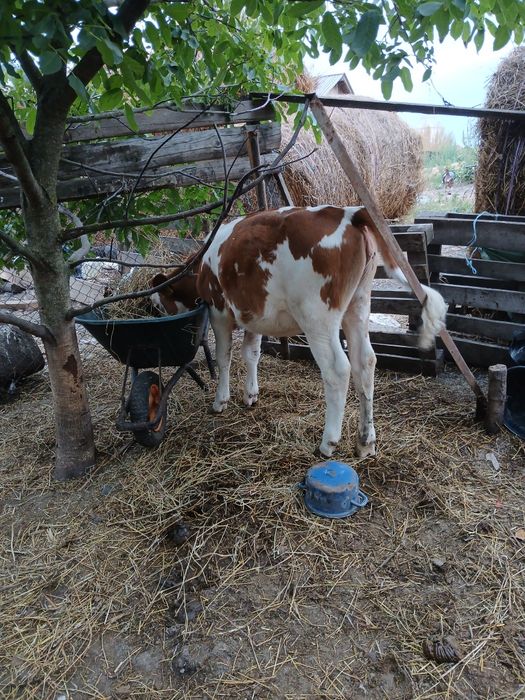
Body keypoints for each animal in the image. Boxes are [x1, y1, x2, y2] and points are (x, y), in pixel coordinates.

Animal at [151, 206, 447, 458]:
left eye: (159, 303)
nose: (160, 319)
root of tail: (349, 212)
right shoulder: (254, 312)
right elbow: (251, 353)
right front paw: (251, 395)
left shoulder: (219, 311)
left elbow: (225, 357)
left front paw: (220, 400)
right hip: (359, 305)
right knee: (365, 363)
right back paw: (365, 441)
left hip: (317, 318)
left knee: (338, 370)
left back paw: (328, 443)